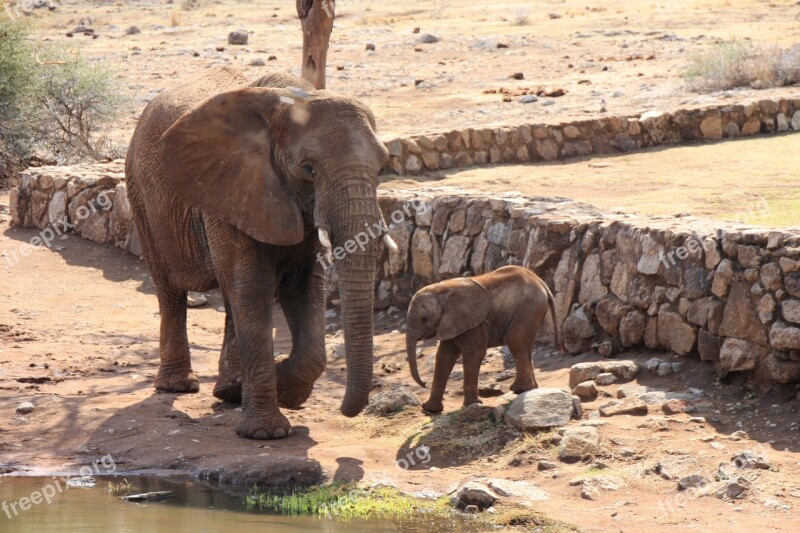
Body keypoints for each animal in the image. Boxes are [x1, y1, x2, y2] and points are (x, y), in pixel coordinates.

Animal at [124, 68, 394, 438]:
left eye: (382, 168)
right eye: (308, 169)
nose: (346, 410)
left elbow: (304, 287)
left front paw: (287, 394)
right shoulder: (233, 186)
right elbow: (252, 288)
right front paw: (266, 432)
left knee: (227, 296)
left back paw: (229, 391)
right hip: (140, 192)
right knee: (170, 287)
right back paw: (179, 386)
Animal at [404, 264, 560, 412]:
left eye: (424, 319)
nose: (424, 383)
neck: (441, 289)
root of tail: (542, 283)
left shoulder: (475, 323)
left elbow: (474, 353)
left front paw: (472, 405)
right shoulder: (451, 323)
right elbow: (444, 356)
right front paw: (430, 409)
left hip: (529, 307)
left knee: (514, 339)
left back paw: (520, 389)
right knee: (525, 345)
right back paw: (528, 388)